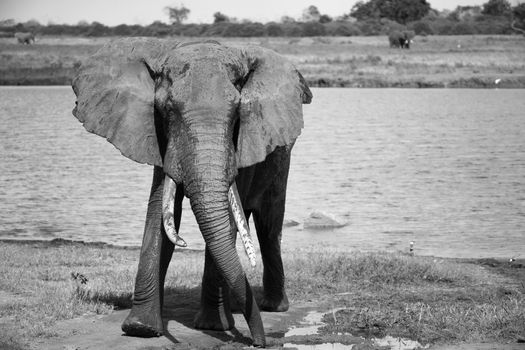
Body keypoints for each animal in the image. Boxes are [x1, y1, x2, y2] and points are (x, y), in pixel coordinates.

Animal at [71, 39, 314, 348]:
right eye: (167, 109)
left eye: (238, 111)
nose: (259, 342)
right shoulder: (160, 138)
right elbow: (160, 212)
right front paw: (141, 328)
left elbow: (226, 217)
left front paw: (213, 326)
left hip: (281, 160)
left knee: (269, 226)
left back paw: (274, 306)